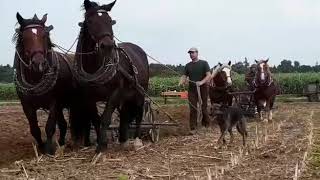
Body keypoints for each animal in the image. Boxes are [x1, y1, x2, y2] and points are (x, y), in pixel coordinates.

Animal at [13, 12, 77, 154]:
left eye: (44, 35)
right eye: (24, 37)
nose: (39, 63)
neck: (36, 78)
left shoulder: (54, 103)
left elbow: (49, 127)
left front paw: (49, 150)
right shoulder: (26, 105)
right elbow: (34, 129)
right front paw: (41, 147)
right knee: (63, 124)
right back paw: (61, 142)